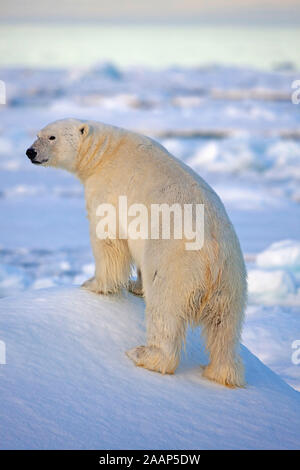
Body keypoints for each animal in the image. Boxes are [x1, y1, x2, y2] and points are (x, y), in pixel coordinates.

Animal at [27, 119, 248, 388]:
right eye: (37, 134)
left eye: (51, 137)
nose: (30, 152)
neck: (104, 152)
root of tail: (213, 257)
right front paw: (135, 285)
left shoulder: (109, 190)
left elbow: (108, 239)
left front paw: (93, 284)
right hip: (232, 283)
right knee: (224, 329)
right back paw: (221, 372)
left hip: (176, 265)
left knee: (164, 313)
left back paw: (144, 355)